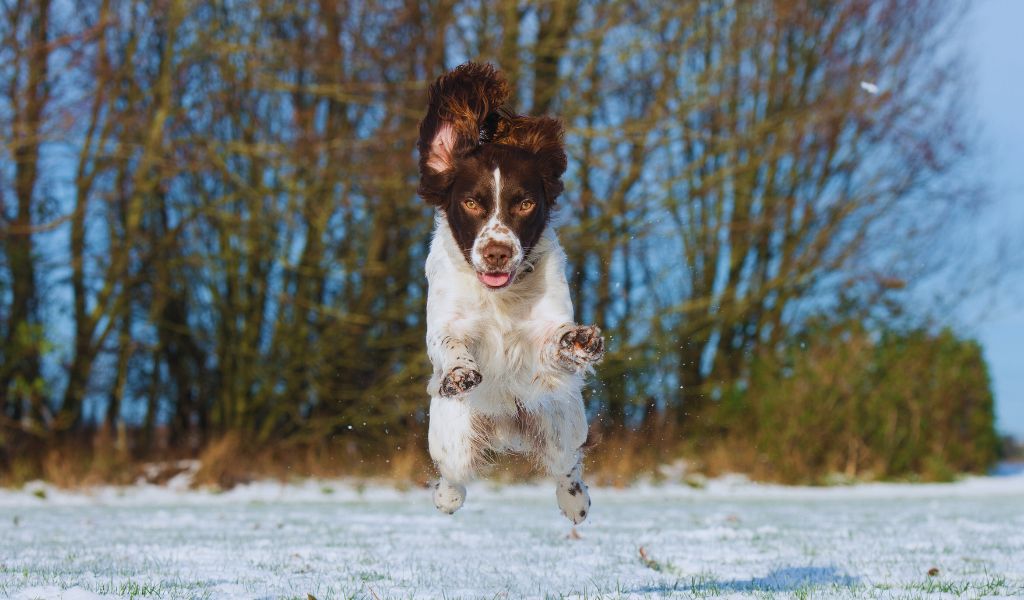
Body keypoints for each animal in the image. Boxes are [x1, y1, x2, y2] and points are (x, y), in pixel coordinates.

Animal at [415, 62, 602, 520]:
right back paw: (445, 499)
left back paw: (576, 501)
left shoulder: (540, 329)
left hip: (561, 422)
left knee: (568, 465)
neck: (500, 295)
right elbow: (450, 341)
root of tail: (505, 428)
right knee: (453, 477)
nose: (497, 252)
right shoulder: (447, 320)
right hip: (453, 437)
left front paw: (578, 341)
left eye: (524, 204)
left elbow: (553, 338)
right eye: (471, 203)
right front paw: (460, 372)